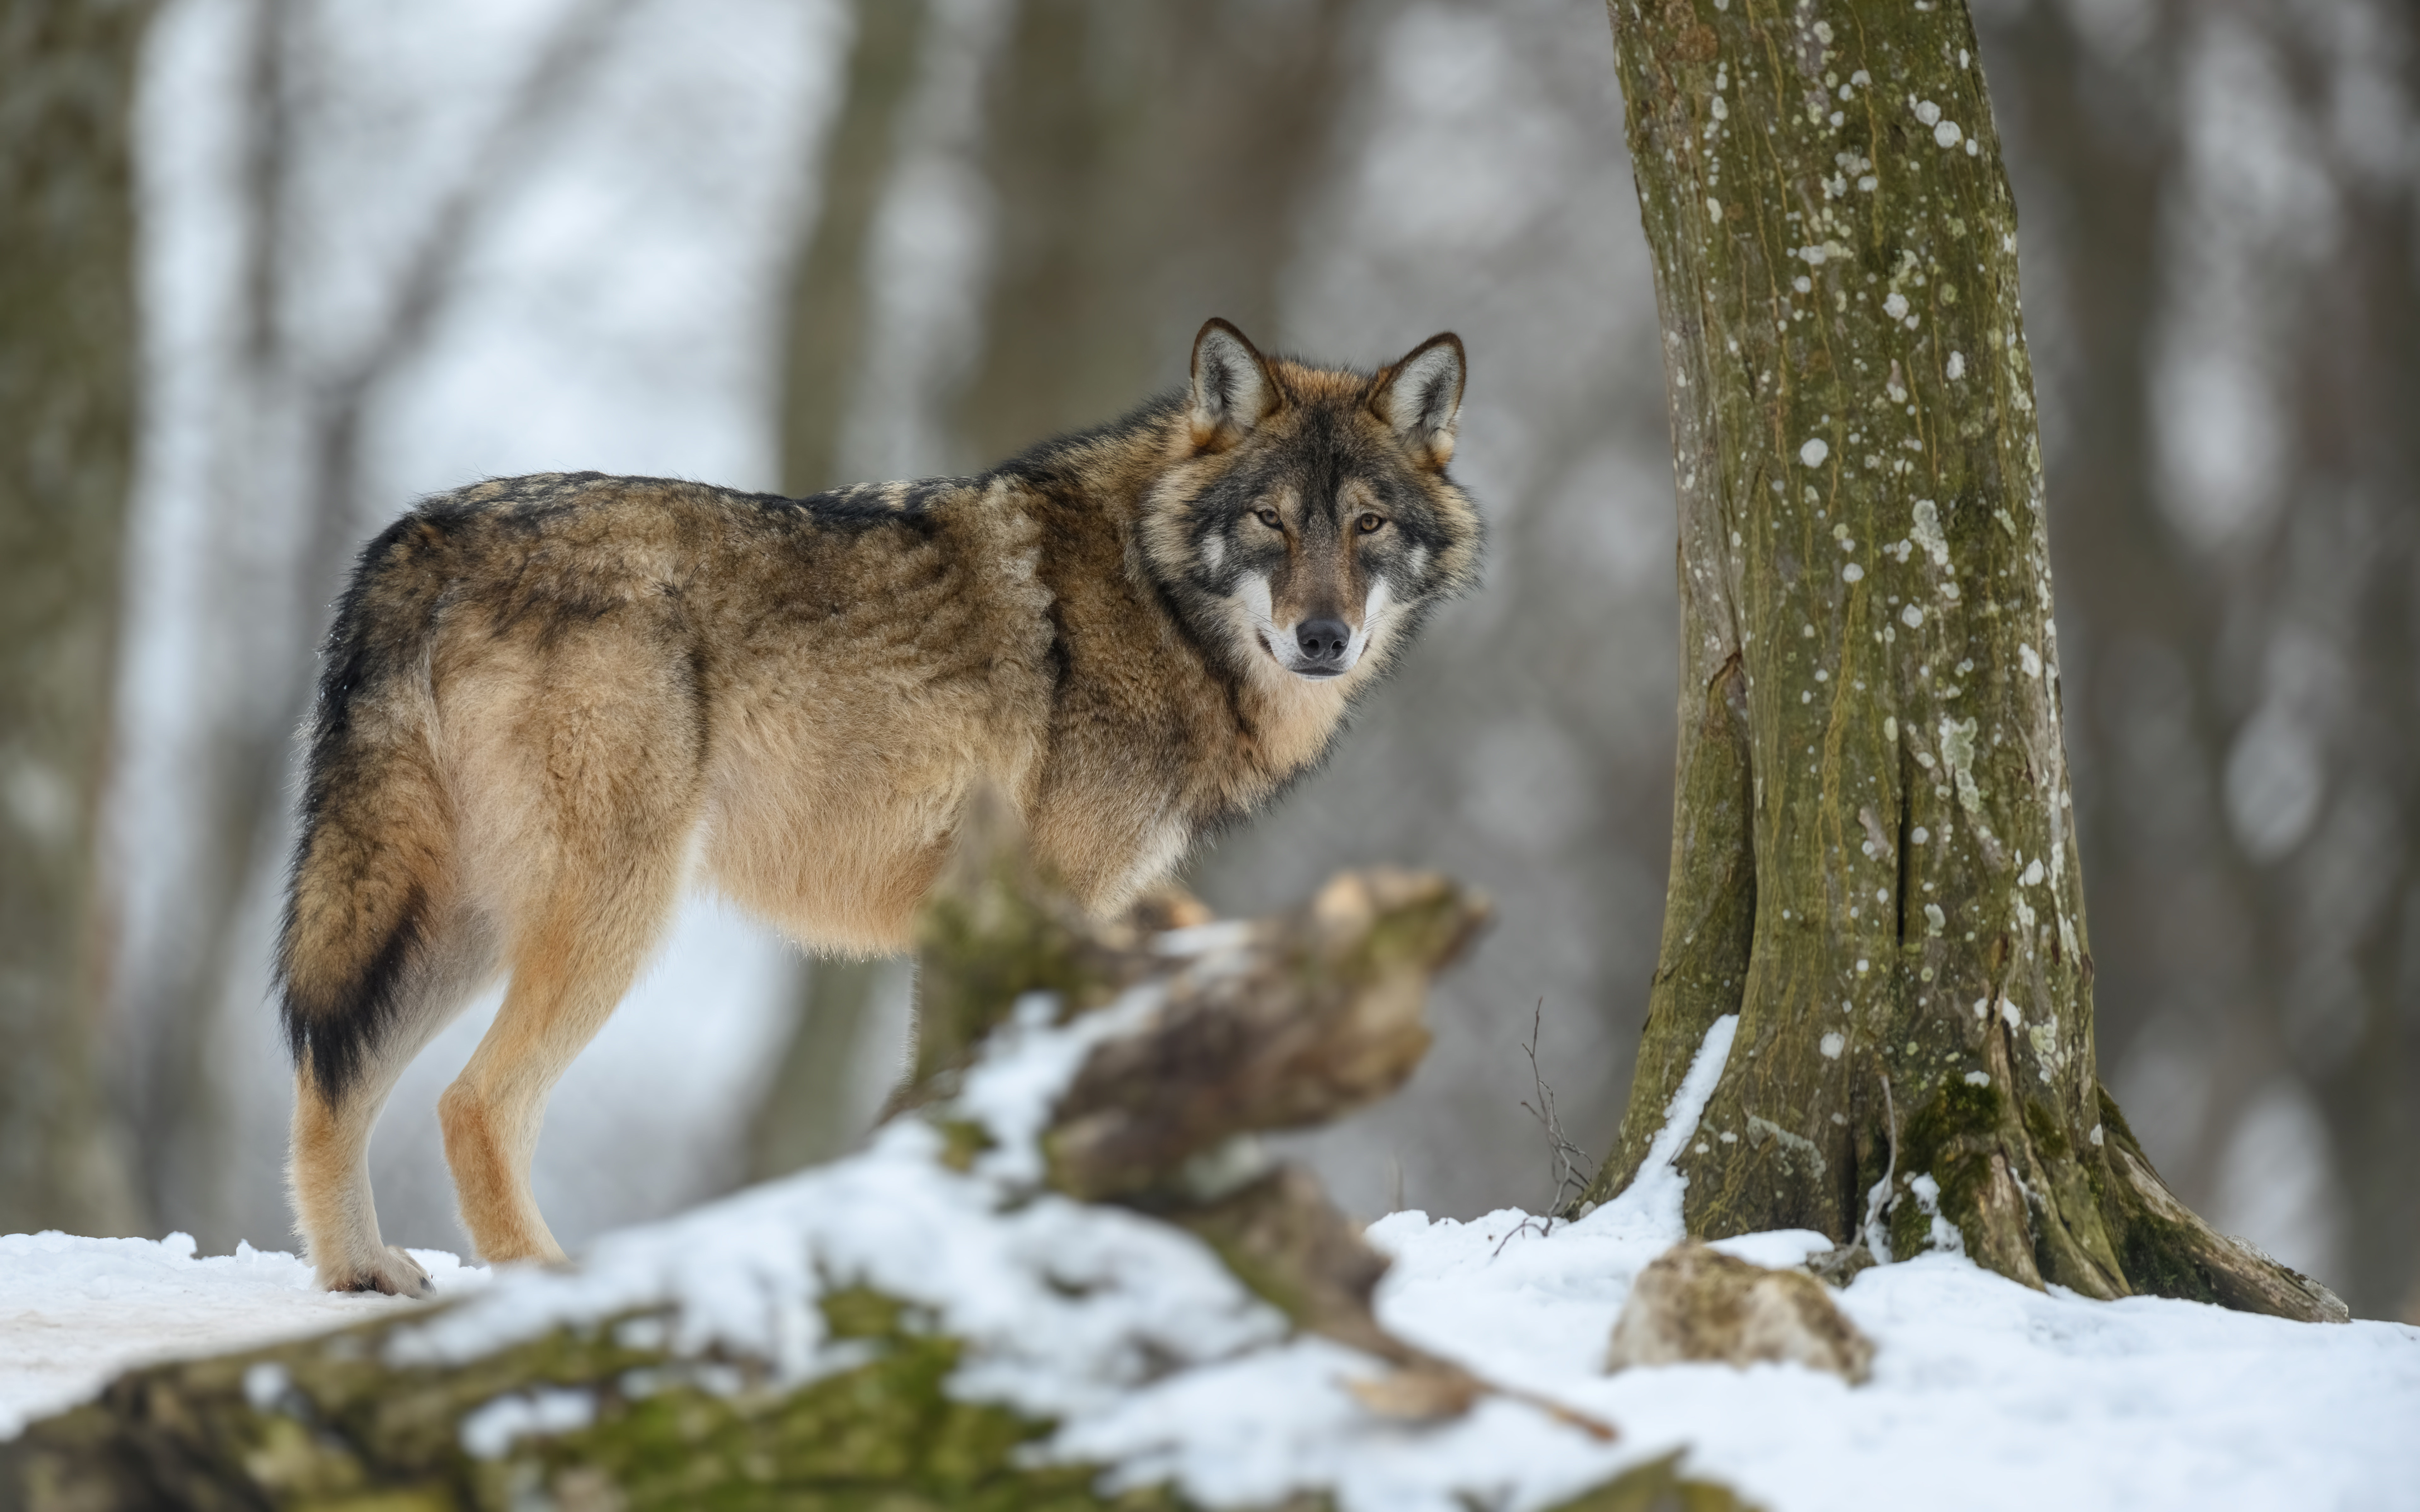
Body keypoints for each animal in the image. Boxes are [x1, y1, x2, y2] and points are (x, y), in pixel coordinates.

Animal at [276, 318, 1482, 1293]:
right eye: (1271, 520)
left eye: (1367, 524)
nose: (1321, 638)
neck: (1157, 595)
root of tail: (423, 532)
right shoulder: (1036, 910)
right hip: (608, 913)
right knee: (472, 1105)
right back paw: (544, 1288)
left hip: (456, 920)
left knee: (330, 1083)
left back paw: (360, 1275)